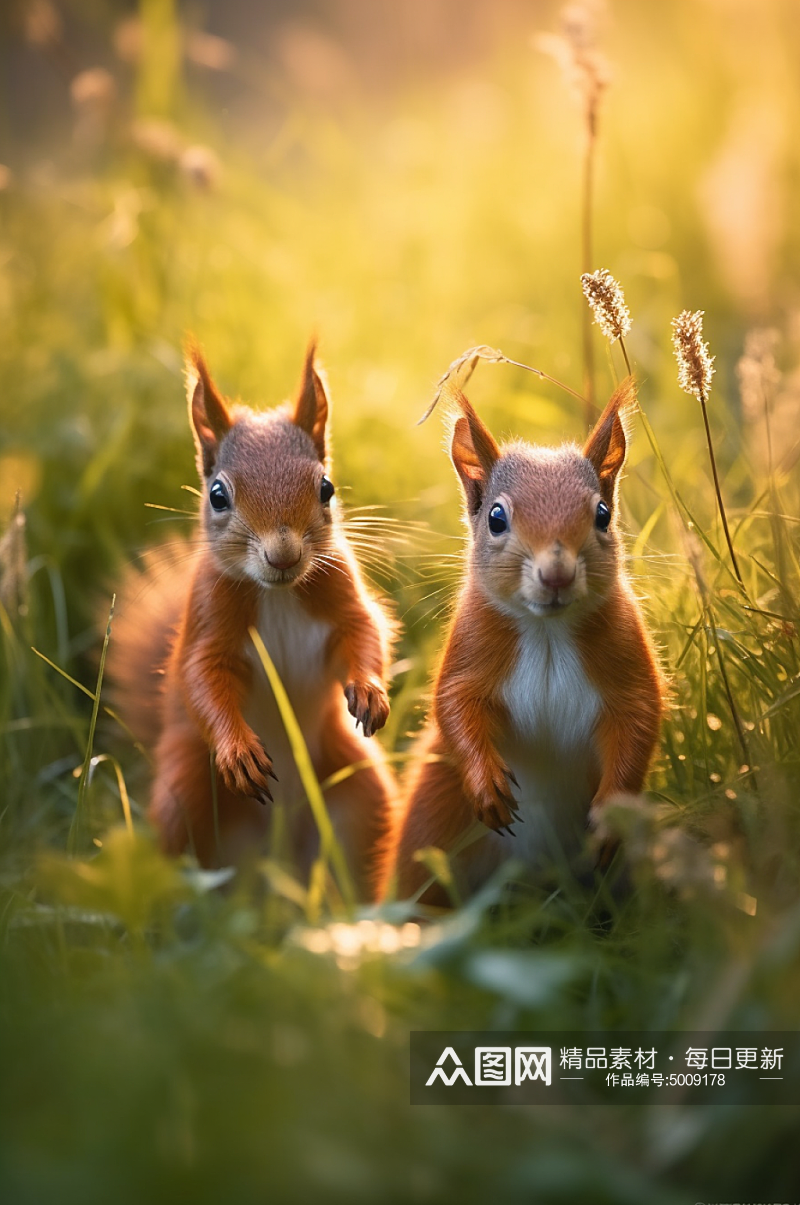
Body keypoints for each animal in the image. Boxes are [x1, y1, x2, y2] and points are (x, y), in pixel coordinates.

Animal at [108, 339, 397, 896]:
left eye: (326, 487)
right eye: (218, 495)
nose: (283, 556)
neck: (278, 594)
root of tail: (275, 860)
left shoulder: (344, 599)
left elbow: (364, 634)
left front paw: (369, 692)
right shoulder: (208, 622)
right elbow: (202, 677)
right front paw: (238, 751)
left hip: (359, 790)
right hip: (185, 789)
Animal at [378, 375, 665, 906]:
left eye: (602, 513)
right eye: (496, 518)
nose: (556, 575)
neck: (547, 631)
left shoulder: (626, 658)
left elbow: (639, 719)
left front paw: (608, 818)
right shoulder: (470, 648)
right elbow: (454, 705)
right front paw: (487, 787)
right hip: (430, 818)